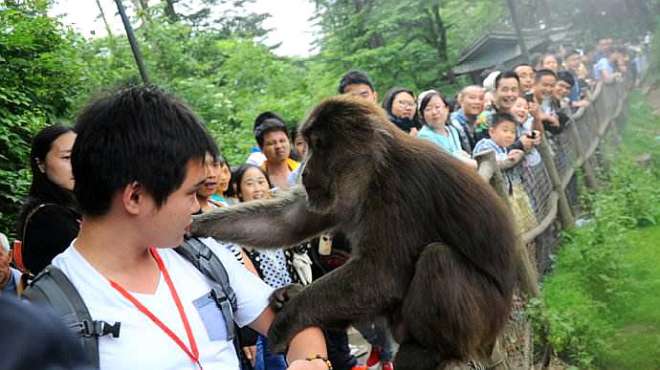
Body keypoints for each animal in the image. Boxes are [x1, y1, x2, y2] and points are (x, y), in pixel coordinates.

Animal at [193, 96, 520, 370]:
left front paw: (289, 318)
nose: (305, 170)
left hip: (483, 319)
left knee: (437, 258)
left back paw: (431, 351)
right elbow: (286, 222)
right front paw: (195, 224)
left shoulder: (397, 193)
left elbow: (381, 274)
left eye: (319, 145)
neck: (374, 171)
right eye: (307, 145)